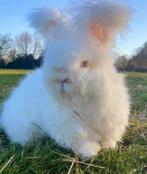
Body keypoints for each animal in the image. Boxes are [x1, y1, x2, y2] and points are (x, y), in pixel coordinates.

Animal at [0, 0, 131, 158]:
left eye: (85, 63)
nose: (61, 79)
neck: (85, 102)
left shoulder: (110, 122)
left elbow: (109, 138)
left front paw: (109, 148)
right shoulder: (72, 127)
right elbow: (83, 141)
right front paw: (90, 153)